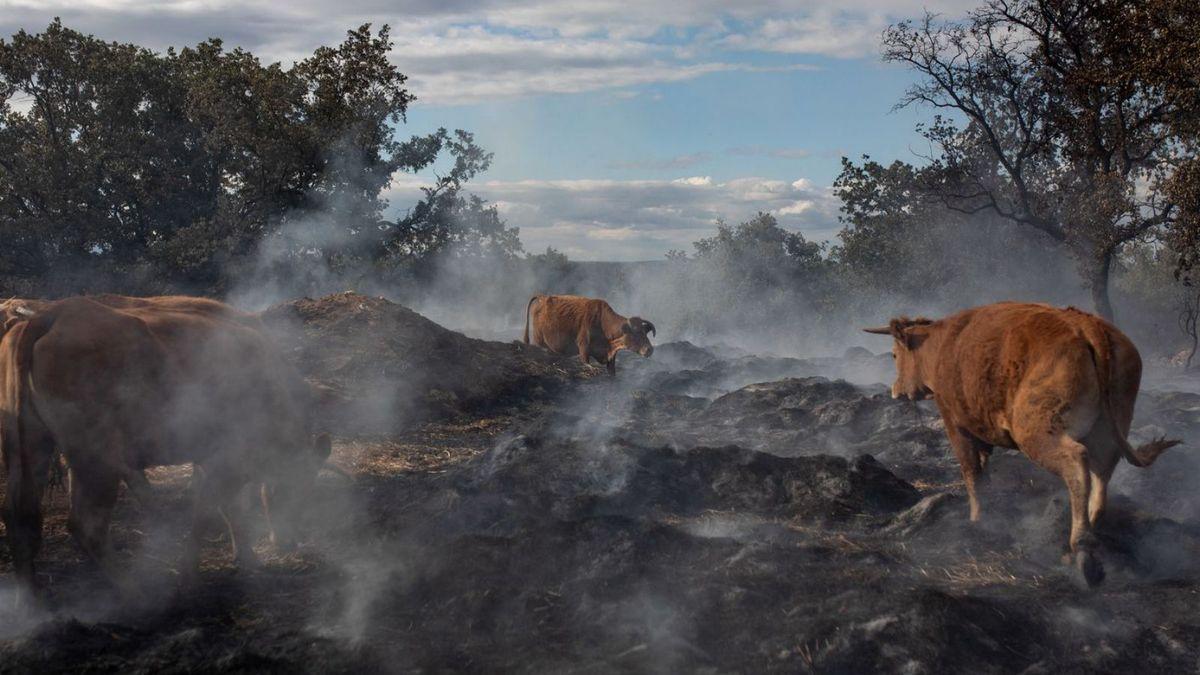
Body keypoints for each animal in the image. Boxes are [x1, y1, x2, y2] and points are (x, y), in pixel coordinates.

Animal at [0, 294, 331, 605]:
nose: (290, 542)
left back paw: (31, 604)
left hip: (33, 450)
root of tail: (52, 315)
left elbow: (228, 508)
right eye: (298, 486)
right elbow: (206, 513)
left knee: (21, 519)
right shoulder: (225, 459)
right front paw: (190, 575)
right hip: (97, 462)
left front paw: (247, 557)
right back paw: (135, 592)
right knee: (86, 525)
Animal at [525, 291, 657, 372]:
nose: (649, 349)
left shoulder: (611, 356)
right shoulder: (583, 347)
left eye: (645, 333)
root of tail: (542, 298)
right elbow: (587, 362)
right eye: (635, 334)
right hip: (539, 340)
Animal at [864, 300, 1180, 583]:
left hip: (1037, 433)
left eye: (894, 356)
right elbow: (983, 470)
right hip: (1107, 430)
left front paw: (977, 519)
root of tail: (1085, 325)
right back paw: (1087, 536)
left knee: (1077, 462)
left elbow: (971, 473)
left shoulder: (956, 424)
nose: (895, 391)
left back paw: (1082, 551)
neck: (942, 345)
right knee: (1102, 474)